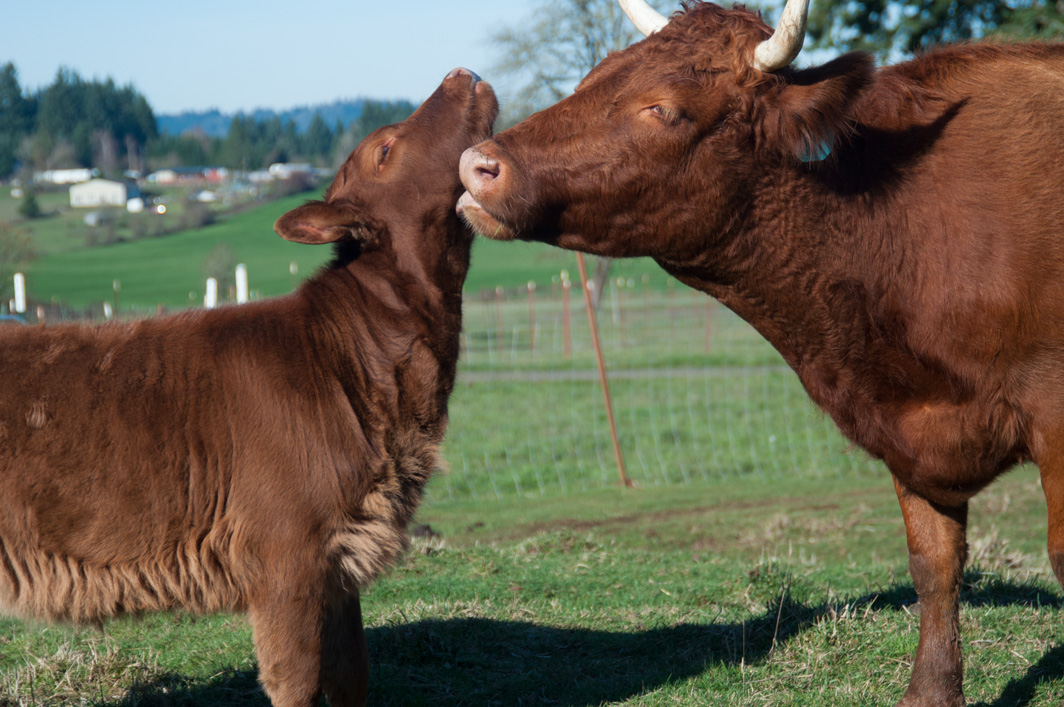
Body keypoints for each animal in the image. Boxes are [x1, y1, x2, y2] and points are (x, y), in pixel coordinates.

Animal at [0, 67, 497, 707]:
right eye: (385, 149)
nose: (461, 74)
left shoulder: (339, 555)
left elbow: (351, 670)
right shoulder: (286, 549)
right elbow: (297, 677)